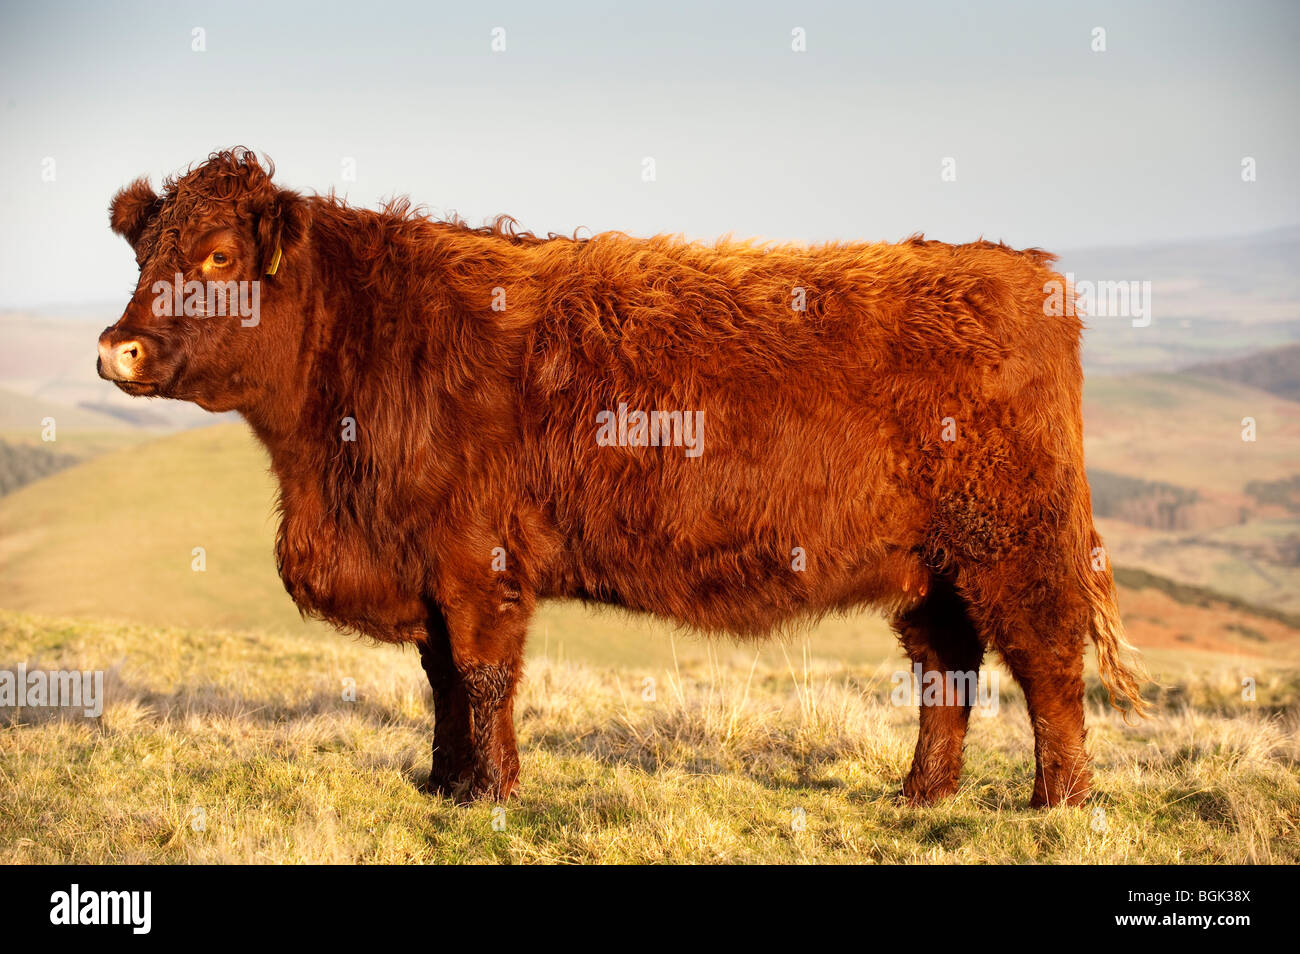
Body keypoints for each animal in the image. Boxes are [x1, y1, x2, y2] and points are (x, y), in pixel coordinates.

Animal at [96, 147, 1144, 805]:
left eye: (219, 255)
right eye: (144, 252)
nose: (117, 348)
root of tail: (1022, 271)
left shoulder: (477, 562)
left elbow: (482, 675)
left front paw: (491, 792)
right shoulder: (428, 569)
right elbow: (440, 679)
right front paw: (443, 783)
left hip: (1013, 545)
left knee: (1049, 664)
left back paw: (1055, 803)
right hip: (931, 568)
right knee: (946, 670)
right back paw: (920, 797)